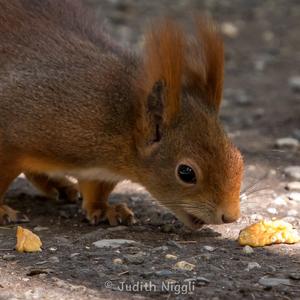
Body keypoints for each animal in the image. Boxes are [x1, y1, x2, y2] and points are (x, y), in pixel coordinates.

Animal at [0, 0, 243, 230]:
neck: (118, 123)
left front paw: (105, 209)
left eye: (240, 160)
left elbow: (96, 189)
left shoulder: (100, 171)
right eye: (186, 173)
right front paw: (2, 211)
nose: (230, 217)